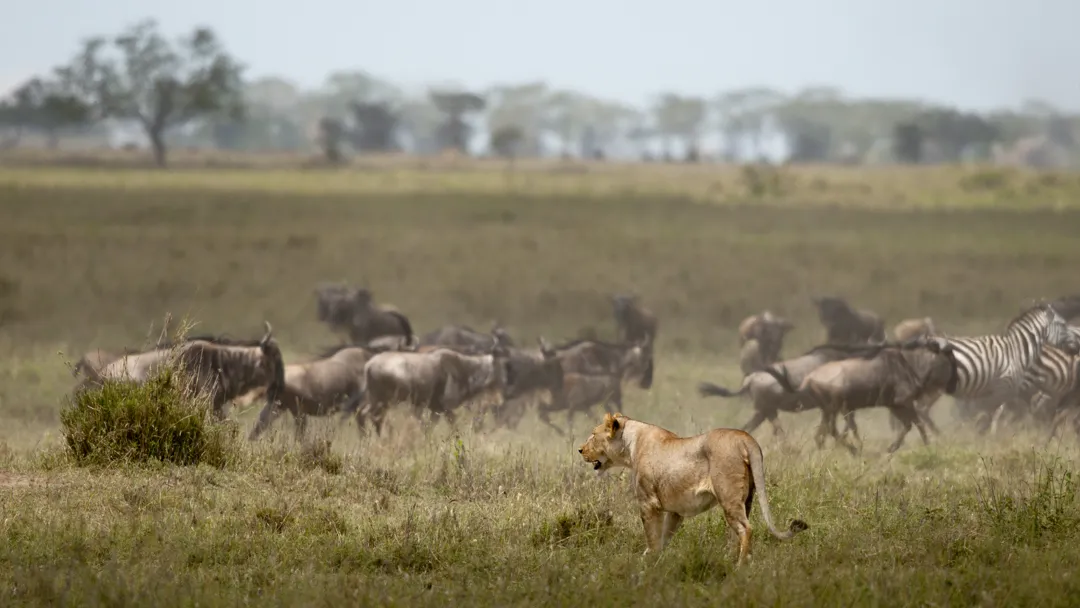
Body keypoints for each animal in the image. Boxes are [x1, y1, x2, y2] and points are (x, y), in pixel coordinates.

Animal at [578, 412, 808, 565]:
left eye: (593, 434)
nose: (580, 450)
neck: (630, 445)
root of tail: (746, 437)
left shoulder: (648, 503)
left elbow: (652, 535)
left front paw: (648, 561)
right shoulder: (675, 511)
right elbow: (664, 536)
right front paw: (657, 560)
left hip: (728, 497)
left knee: (746, 528)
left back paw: (740, 565)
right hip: (747, 498)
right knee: (738, 532)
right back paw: (732, 558)